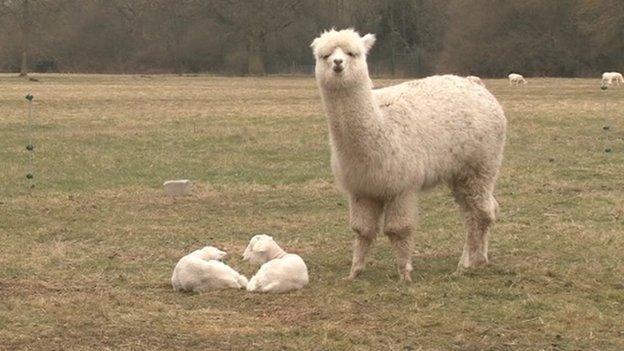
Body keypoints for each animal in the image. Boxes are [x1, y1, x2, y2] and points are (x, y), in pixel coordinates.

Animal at [312, 28, 508, 282]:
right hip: (460, 173)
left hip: (482, 165)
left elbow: (398, 230)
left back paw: (474, 262)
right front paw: (354, 272)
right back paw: (468, 261)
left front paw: (404, 273)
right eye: (324, 56)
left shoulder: (402, 187)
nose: (337, 64)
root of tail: (477, 85)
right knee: (473, 213)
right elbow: (362, 230)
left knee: (483, 212)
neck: (381, 126)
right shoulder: (362, 189)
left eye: (352, 53)